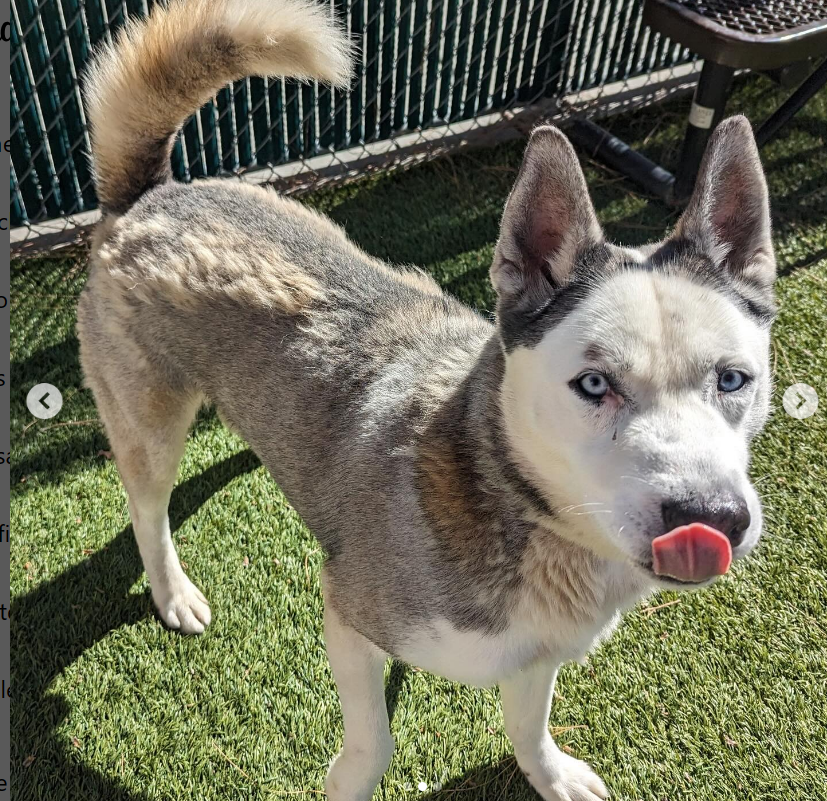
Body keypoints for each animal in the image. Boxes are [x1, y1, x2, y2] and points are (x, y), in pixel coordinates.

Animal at [77, 1, 776, 800]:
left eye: (733, 379)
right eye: (594, 384)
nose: (712, 516)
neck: (513, 502)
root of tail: (153, 194)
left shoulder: (538, 646)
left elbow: (528, 722)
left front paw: (551, 773)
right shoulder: (350, 611)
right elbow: (373, 744)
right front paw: (349, 783)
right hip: (148, 417)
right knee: (147, 506)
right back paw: (172, 592)